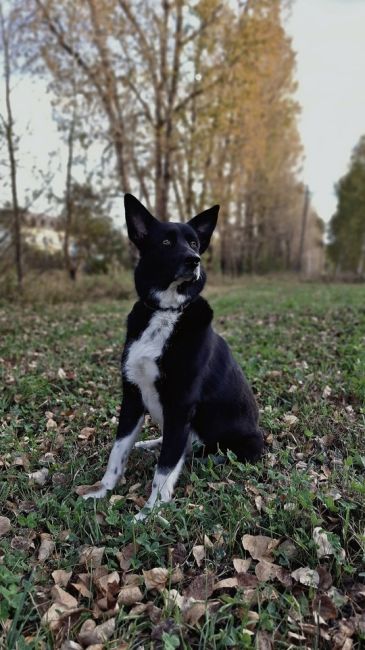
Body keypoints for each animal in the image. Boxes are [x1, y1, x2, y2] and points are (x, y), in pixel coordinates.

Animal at [84, 192, 264, 516]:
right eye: (167, 242)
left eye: (193, 243)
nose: (194, 260)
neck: (167, 312)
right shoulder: (132, 396)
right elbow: (118, 451)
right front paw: (102, 490)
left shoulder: (180, 405)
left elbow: (165, 468)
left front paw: (148, 513)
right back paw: (149, 444)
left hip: (243, 444)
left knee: (199, 452)